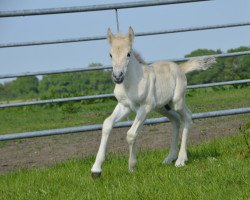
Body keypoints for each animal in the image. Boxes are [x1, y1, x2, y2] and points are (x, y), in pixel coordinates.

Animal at [91, 27, 216, 178]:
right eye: (110, 54)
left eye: (128, 54)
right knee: (176, 120)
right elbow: (107, 124)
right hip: (163, 107)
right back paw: (170, 157)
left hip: (177, 102)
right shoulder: (125, 106)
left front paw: (132, 166)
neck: (131, 83)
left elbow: (131, 134)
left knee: (187, 117)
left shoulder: (145, 107)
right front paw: (96, 170)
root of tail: (180, 68)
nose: (117, 77)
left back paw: (180, 160)